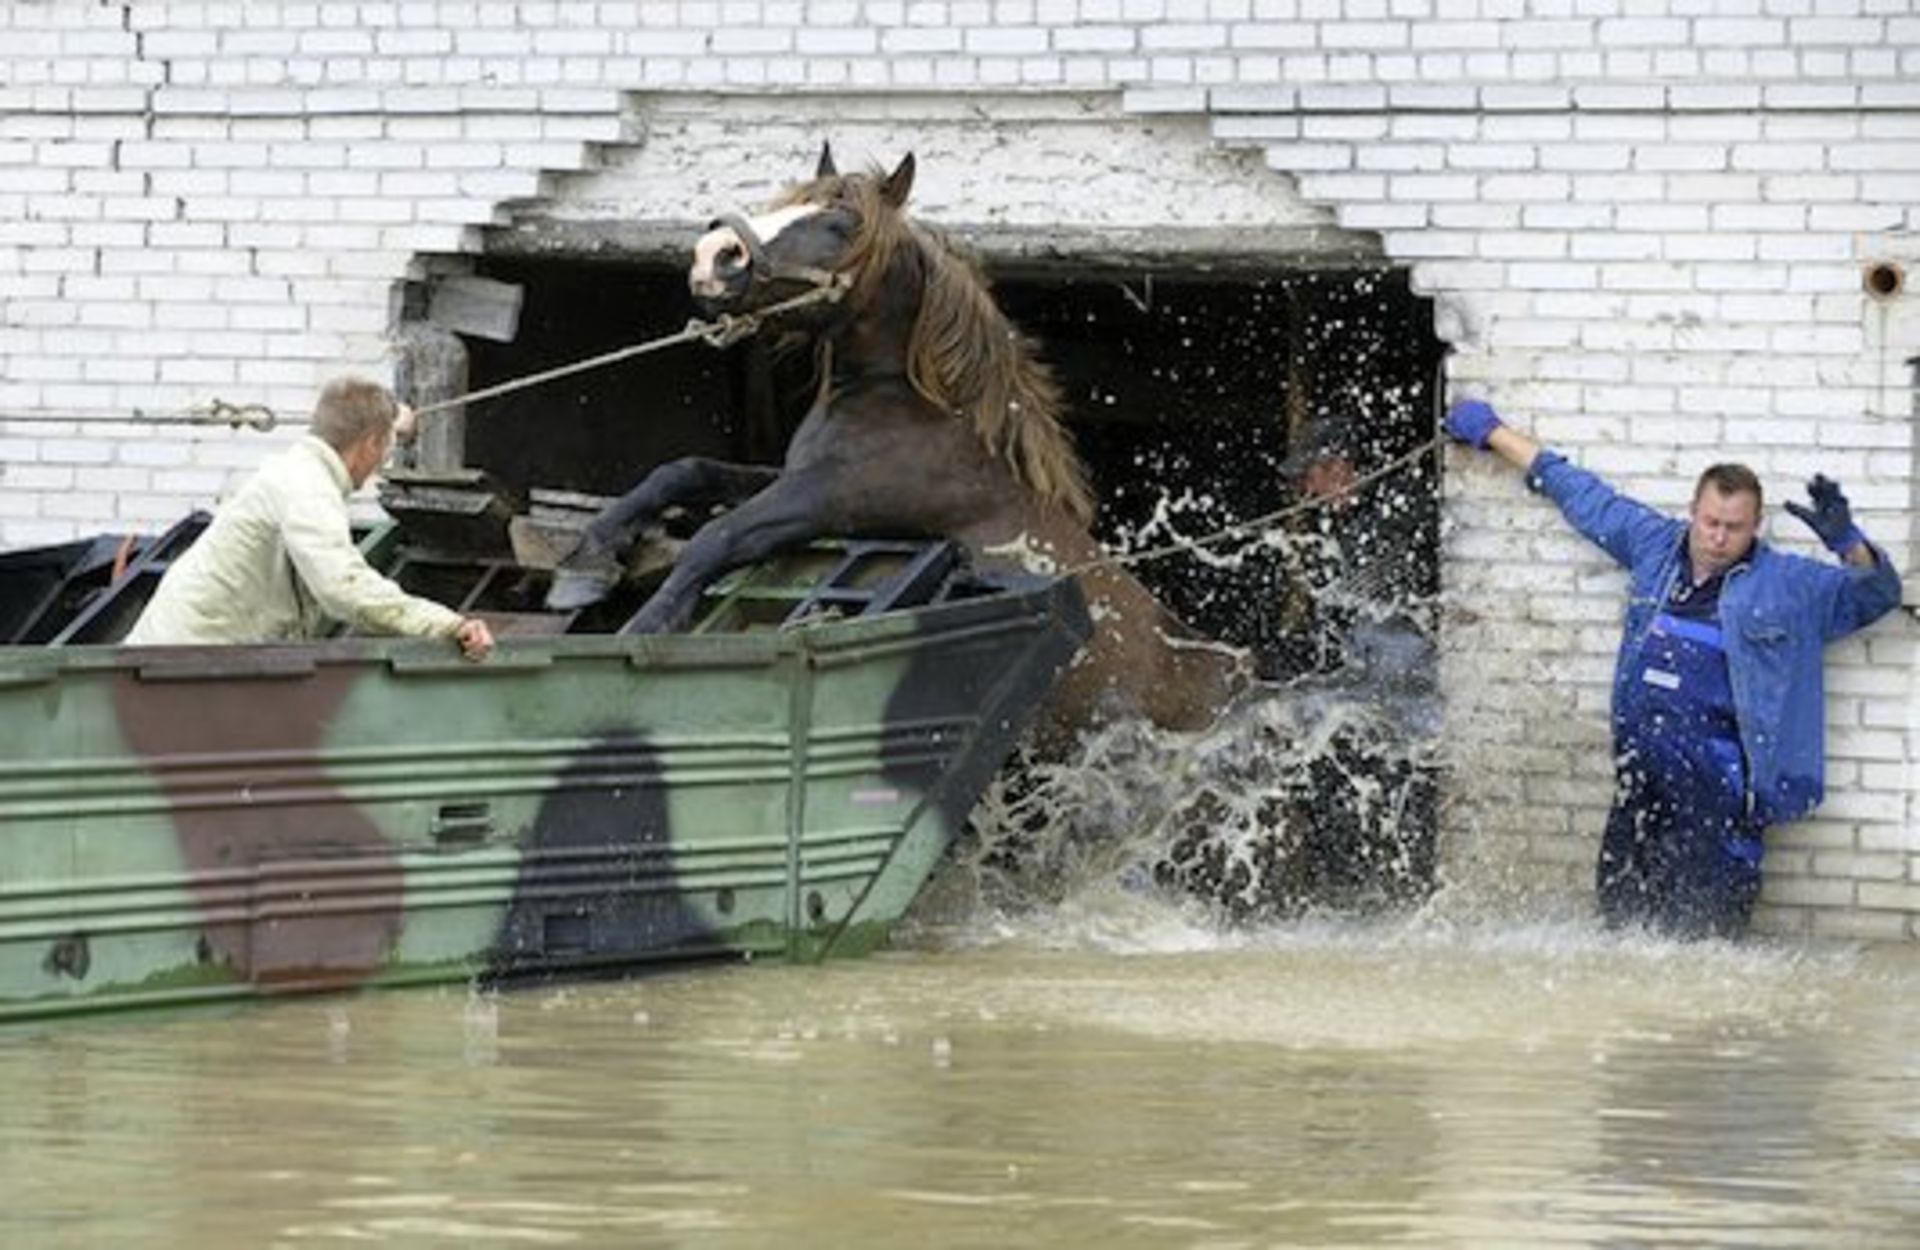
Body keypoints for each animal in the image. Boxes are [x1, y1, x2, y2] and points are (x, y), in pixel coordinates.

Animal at [549, 150, 1251, 748]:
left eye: (840, 222)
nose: (714, 255)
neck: (907, 410)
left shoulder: (829, 500)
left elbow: (716, 537)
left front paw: (645, 627)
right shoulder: (791, 475)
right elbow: (684, 472)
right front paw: (589, 560)